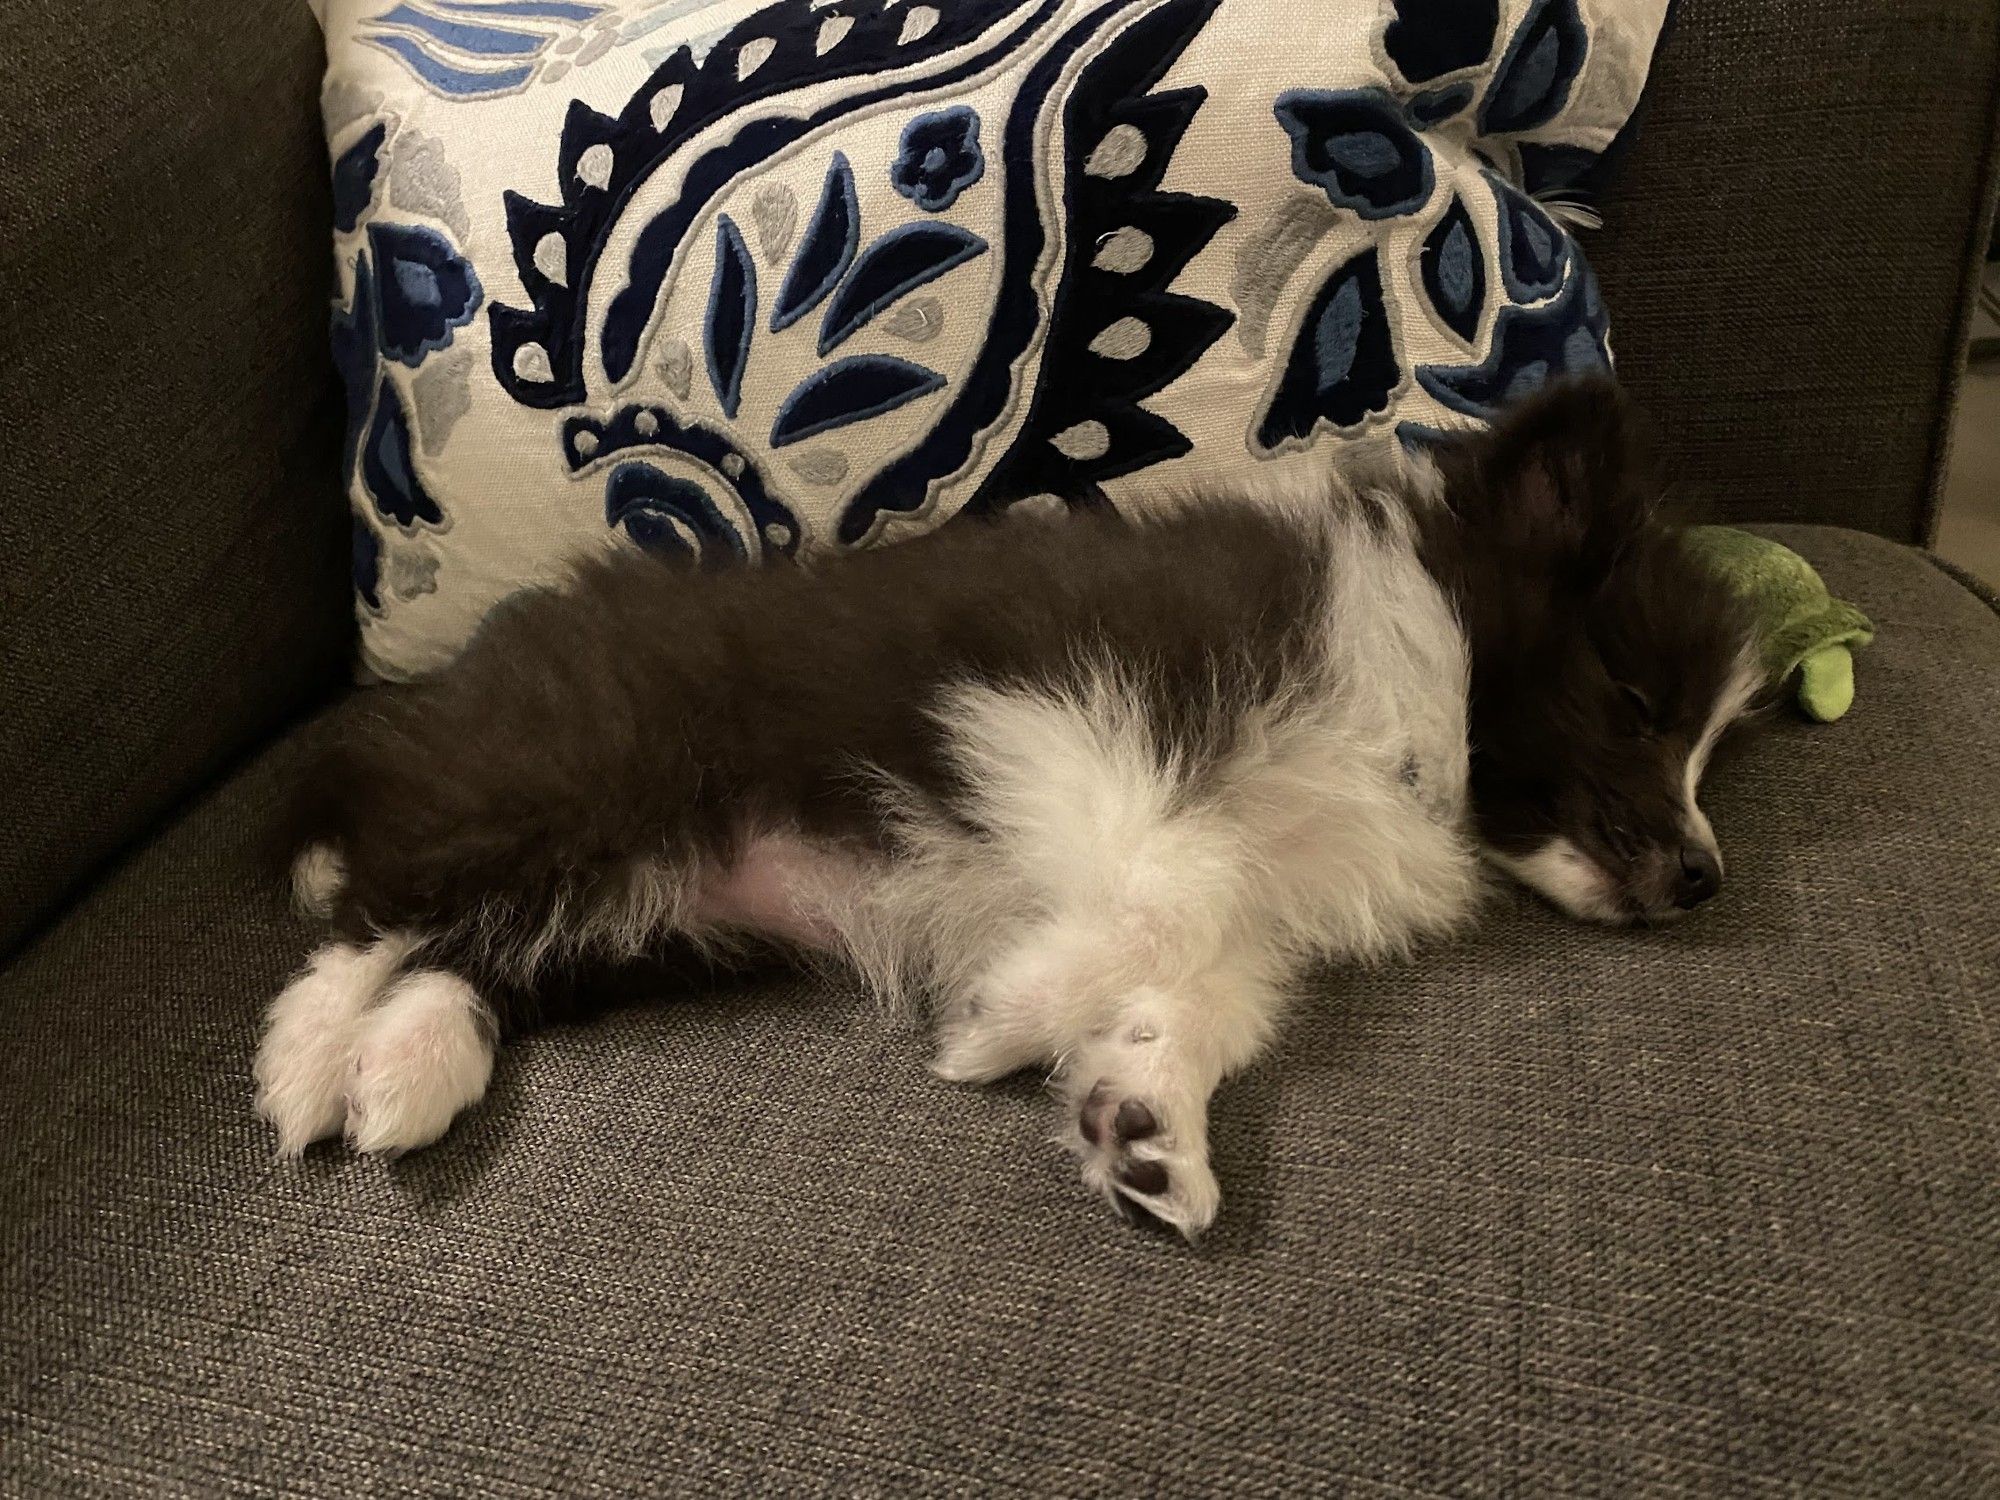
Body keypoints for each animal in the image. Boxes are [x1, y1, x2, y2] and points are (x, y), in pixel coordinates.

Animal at [254, 382, 1768, 1240]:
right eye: (1636, 702)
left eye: (1706, 750)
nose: (1706, 877)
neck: (1408, 670)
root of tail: (459, 682)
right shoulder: (1069, 722)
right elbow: (1175, 894)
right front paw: (1001, 1023)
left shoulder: (1249, 893)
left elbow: (1213, 989)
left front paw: (1145, 1127)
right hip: (577, 783)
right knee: (369, 906)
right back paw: (309, 1062)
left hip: (655, 914)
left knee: (469, 953)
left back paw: (405, 1072)